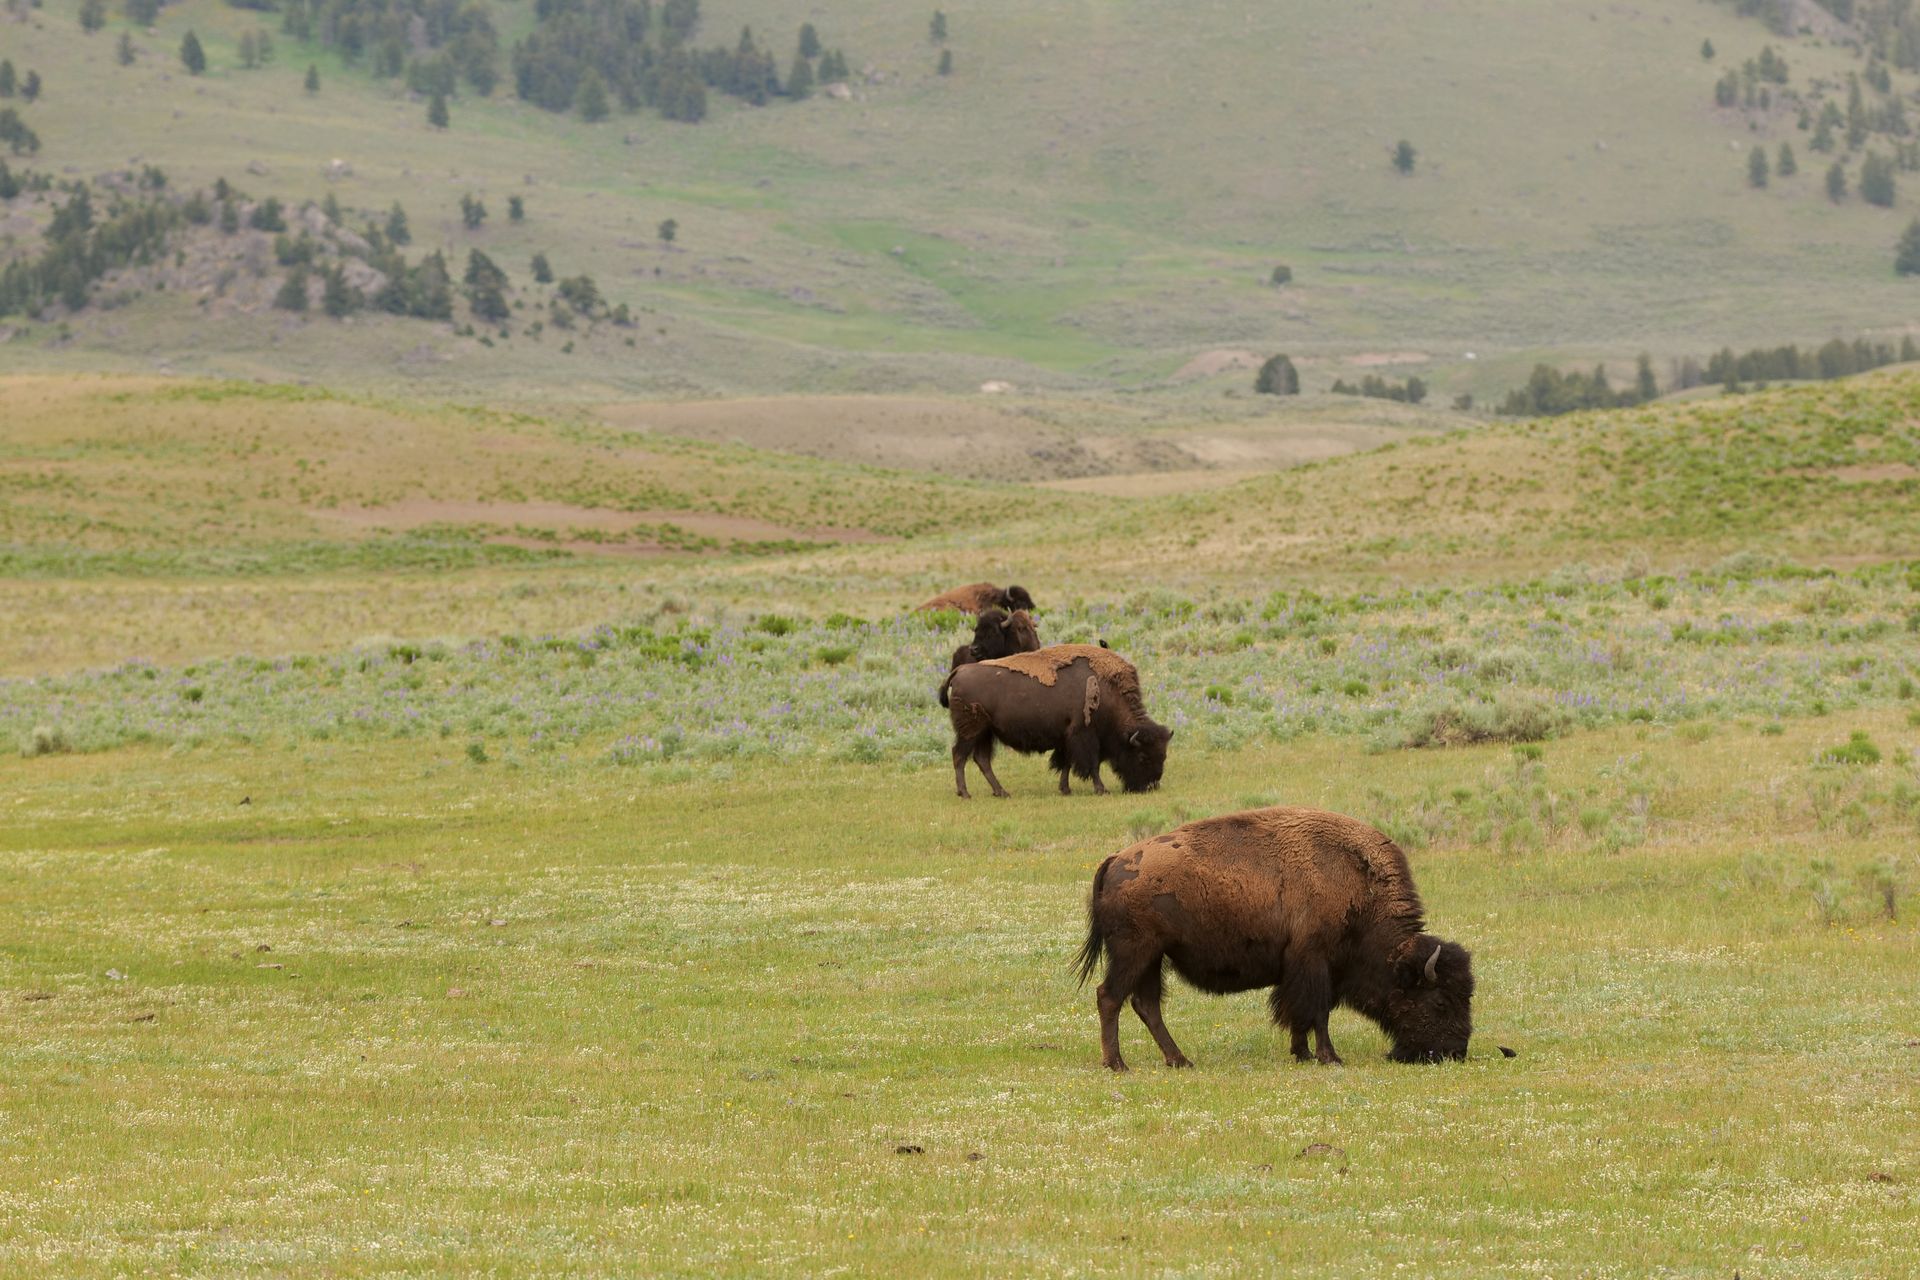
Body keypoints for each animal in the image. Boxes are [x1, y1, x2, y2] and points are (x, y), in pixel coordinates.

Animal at [942, 644, 1172, 798]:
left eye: (1163, 755)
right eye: (1142, 756)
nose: (1150, 786)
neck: (1108, 691)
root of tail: (959, 671)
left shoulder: (1067, 738)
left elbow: (1066, 763)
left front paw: (1065, 789)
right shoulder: (1084, 736)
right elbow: (1092, 765)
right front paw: (1101, 789)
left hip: (985, 733)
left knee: (981, 760)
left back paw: (1001, 792)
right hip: (971, 732)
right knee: (959, 756)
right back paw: (965, 793)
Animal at [1074, 806, 1474, 1070]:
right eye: (1440, 1002)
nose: (1456, 1051)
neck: (1360, 886)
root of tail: (1114, 860)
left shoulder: (1303, 968)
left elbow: (1301, 1012)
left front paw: (1302, 1053)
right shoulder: (1315, 961)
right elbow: (1317, 1012)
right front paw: (1329, 1057)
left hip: (1153, 957)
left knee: (1146, 1004)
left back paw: (1179, 1060)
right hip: (1134, 952)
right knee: (1110, 996)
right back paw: (1117, 1064)